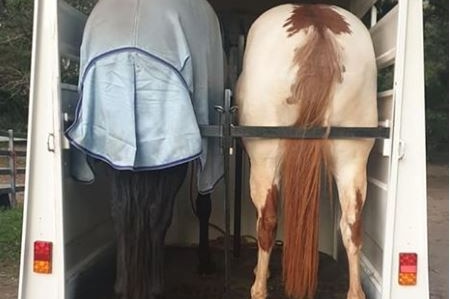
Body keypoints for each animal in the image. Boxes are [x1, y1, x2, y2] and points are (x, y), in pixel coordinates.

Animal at [237, 4, 378, 299]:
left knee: (268, 221)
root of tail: (318, 25)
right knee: (352, 224)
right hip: (352, 156)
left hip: (265, 158)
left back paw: (259, 287)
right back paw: (355, 292)